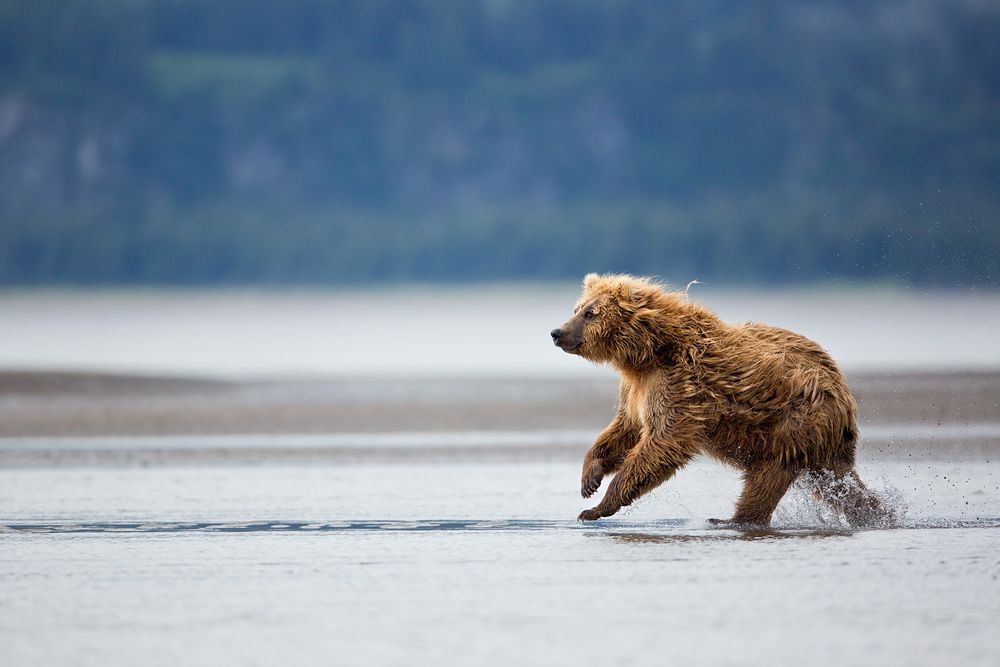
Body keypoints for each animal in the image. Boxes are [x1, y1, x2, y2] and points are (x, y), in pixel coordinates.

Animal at [550, 273, 888, 527]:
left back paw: (732, 519)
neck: (648, 353)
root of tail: (843, 391)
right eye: (577, 307)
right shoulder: (638, 389)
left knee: (767, 476)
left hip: (795, 423)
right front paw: (589, 479)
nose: (557, 332)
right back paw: (877, 512)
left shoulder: (678, 383)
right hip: (819, 442)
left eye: (590, 313)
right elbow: (626, 427)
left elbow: (664, 441)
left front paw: (596, 508)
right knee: (832, 483)